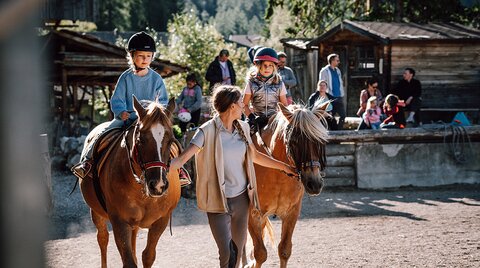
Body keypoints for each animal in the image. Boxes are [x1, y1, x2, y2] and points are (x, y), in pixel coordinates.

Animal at [79, 97, 181, 268]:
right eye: (140, 139)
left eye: (171, 140)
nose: (158, 185)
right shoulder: (119, 222)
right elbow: (129, 261)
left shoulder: (162, 220)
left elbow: (148, 256)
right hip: (96, 211)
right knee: (103, 238)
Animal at [246, 102, 328, 266]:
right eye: (295, 141)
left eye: (318, 141)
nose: (315, 183)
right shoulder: (253, 214)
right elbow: (260, 254)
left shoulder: (292, 213)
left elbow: (284, 250)